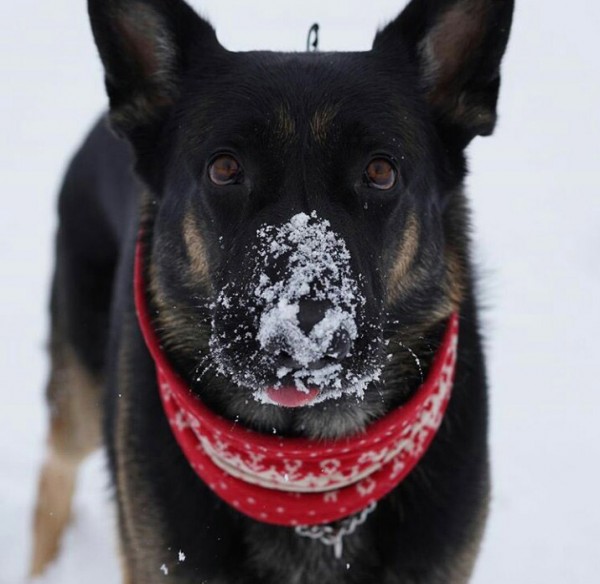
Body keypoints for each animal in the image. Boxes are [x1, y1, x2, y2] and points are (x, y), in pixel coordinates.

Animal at [30, 1, 512, 584]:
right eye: (225, 168)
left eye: (380, 171)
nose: (304, 330)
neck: (306, 483)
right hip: (81, 387)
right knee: (53, 472)